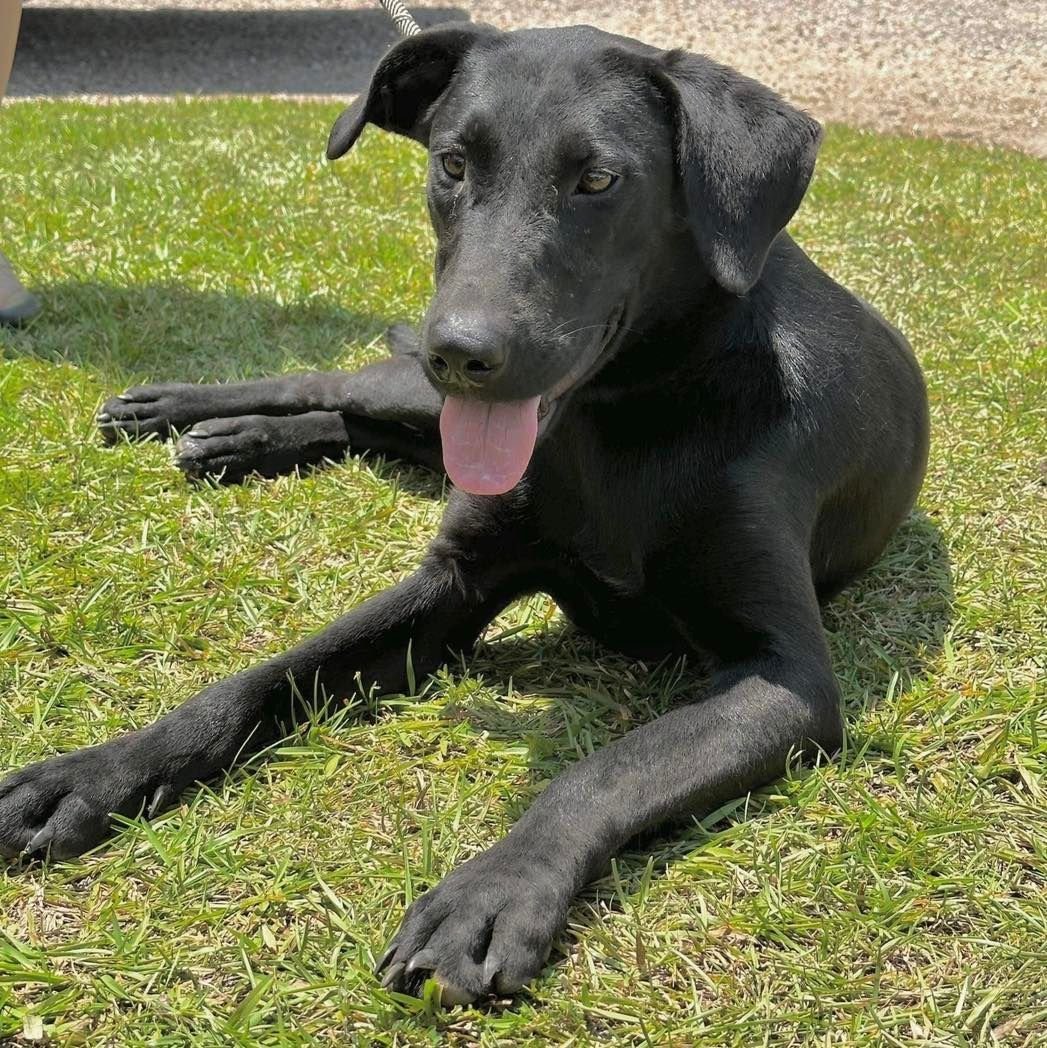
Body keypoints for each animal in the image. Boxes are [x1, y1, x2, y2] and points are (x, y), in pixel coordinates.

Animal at [2, 24, 934, 1001]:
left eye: (598, 180)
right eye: (452, 163)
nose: (460, 351)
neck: (617, 422)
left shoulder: (782, 676)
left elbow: (609, 769)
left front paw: (493, 892)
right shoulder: (455, 581)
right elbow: (261, 679)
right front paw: (97, 772)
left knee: (360, 417)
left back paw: (237, 440)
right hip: (413, 393)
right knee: (333, 383)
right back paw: (182, 411)